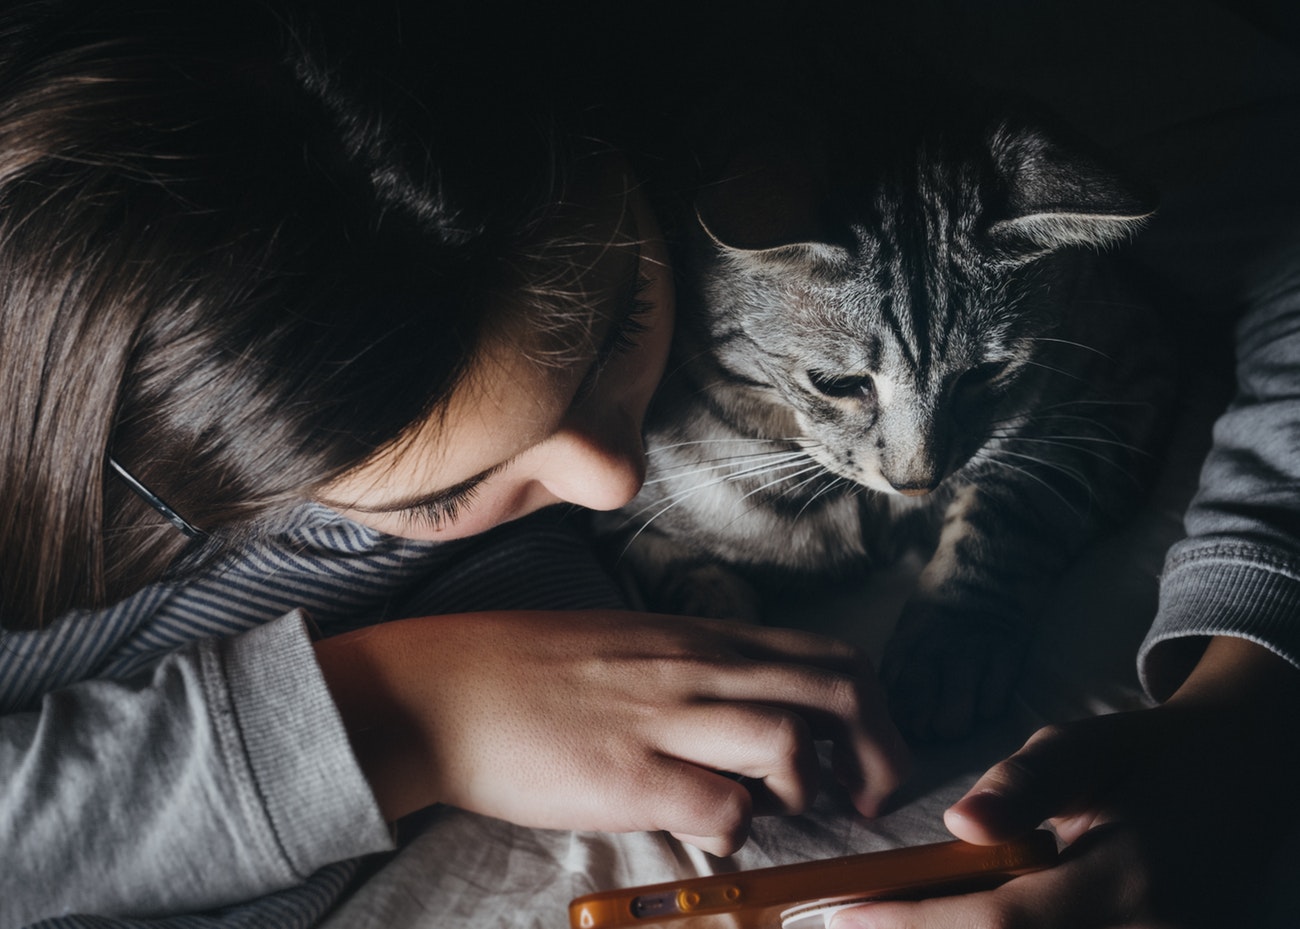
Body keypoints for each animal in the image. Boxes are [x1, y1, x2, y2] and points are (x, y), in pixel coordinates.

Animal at [598, 98, 1180, 743]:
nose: (917, 481)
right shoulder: (621, 522)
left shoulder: (1125, 384)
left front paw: (950, 648)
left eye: (985, 373)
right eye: (835, 384)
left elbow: (1009, 513)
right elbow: (698, 591)